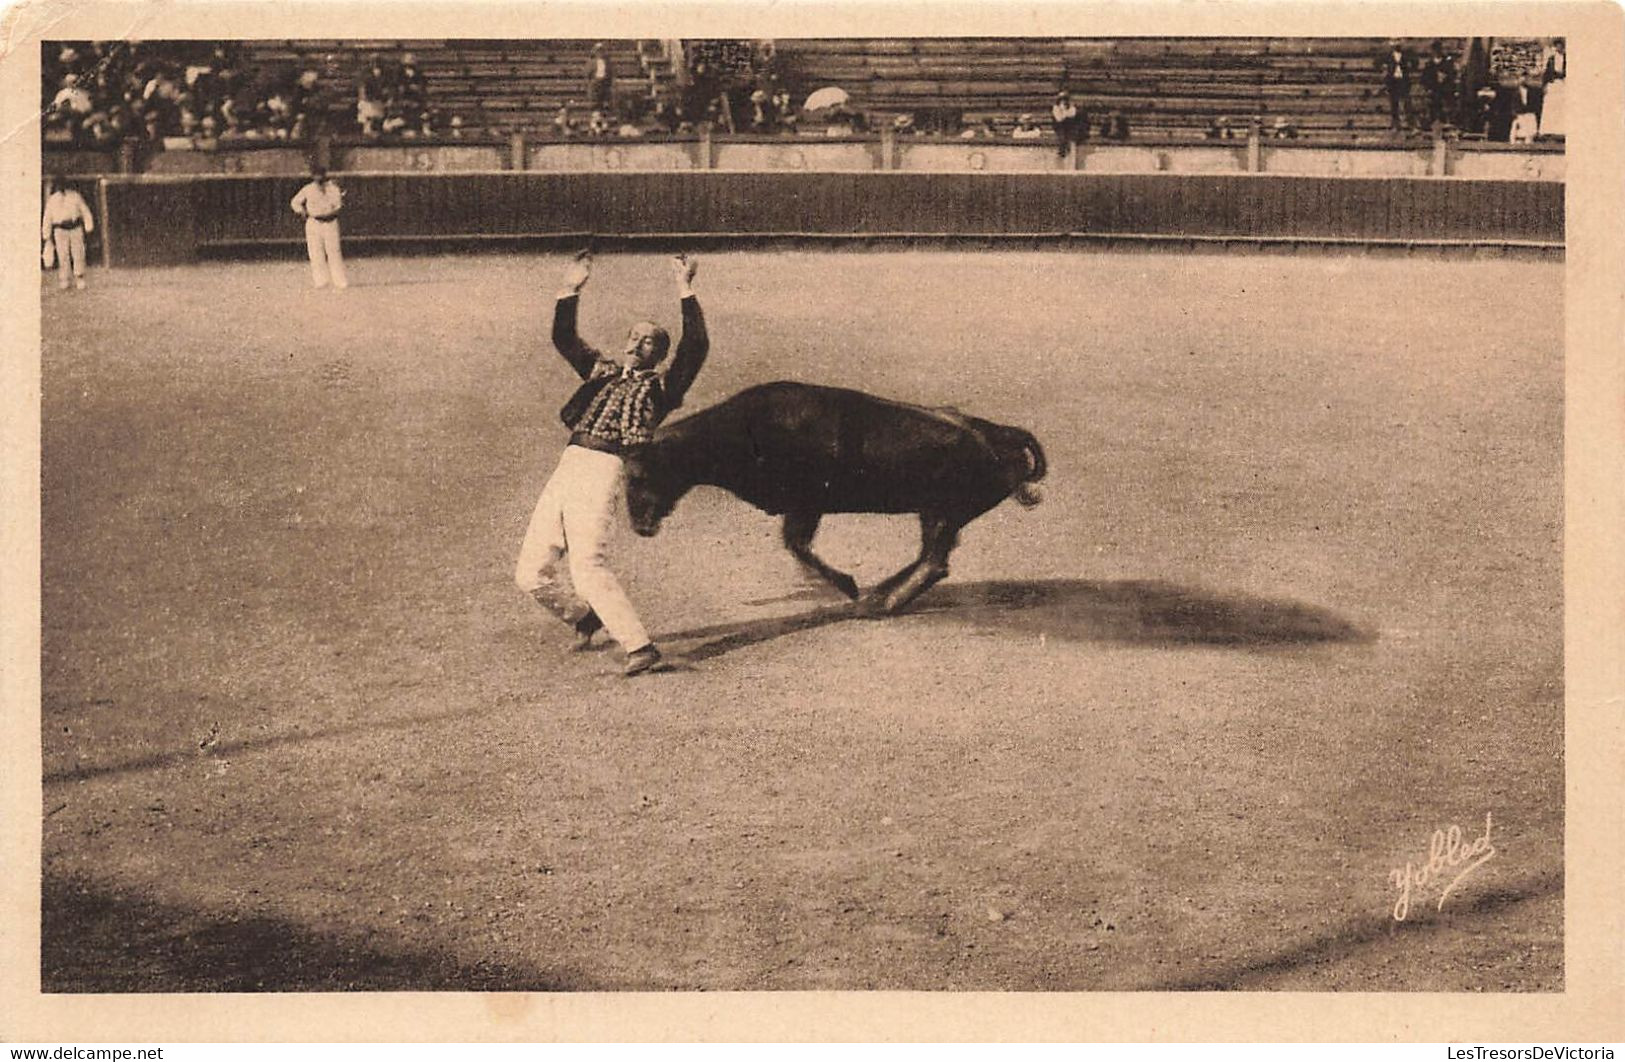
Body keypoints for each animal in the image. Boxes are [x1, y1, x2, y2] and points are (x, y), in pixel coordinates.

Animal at [620, 383, 1040, 617]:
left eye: (637, 474)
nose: (639, 526)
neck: (744, 429)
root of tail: (1000, 434)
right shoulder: (802, 509)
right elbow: (798, 546)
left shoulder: (806, 506)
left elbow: (797, 546)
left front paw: (849, 586)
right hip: (935, 513)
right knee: (929, 558)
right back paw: (879, 593)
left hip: (943, 511)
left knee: (934, 563)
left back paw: (876, 604)